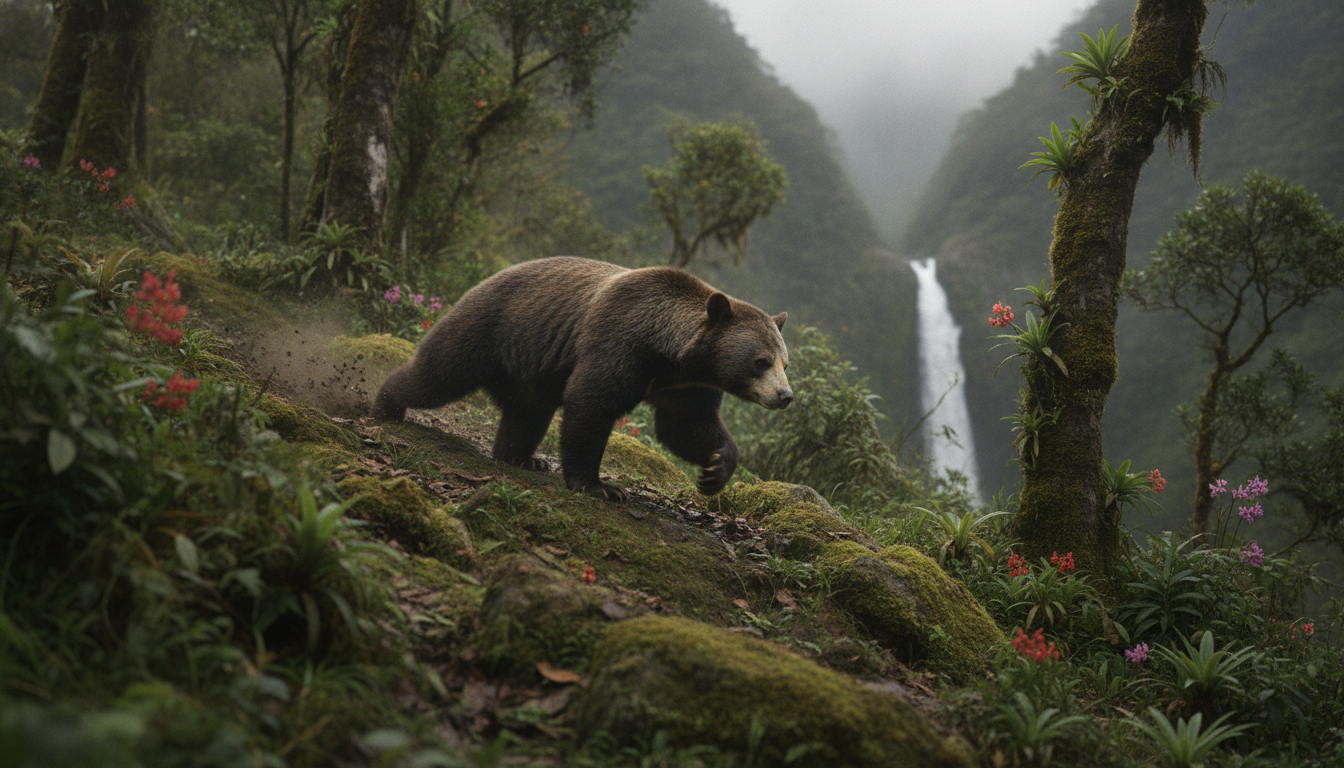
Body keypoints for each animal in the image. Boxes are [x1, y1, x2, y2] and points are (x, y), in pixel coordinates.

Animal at [372, 256, 793, 500]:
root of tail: (486, 279)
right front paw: (598, 485)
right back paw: (386, 404)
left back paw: (522, 457)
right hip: (491, 328)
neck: (669, 354)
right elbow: (593, 402)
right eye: (760, 361)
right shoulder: (621, 343)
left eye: (785, 362)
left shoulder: (686, 385)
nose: (785, 396)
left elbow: (686, 425)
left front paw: (714, 470)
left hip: (530, 371)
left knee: (527, 415)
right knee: (438, 375)